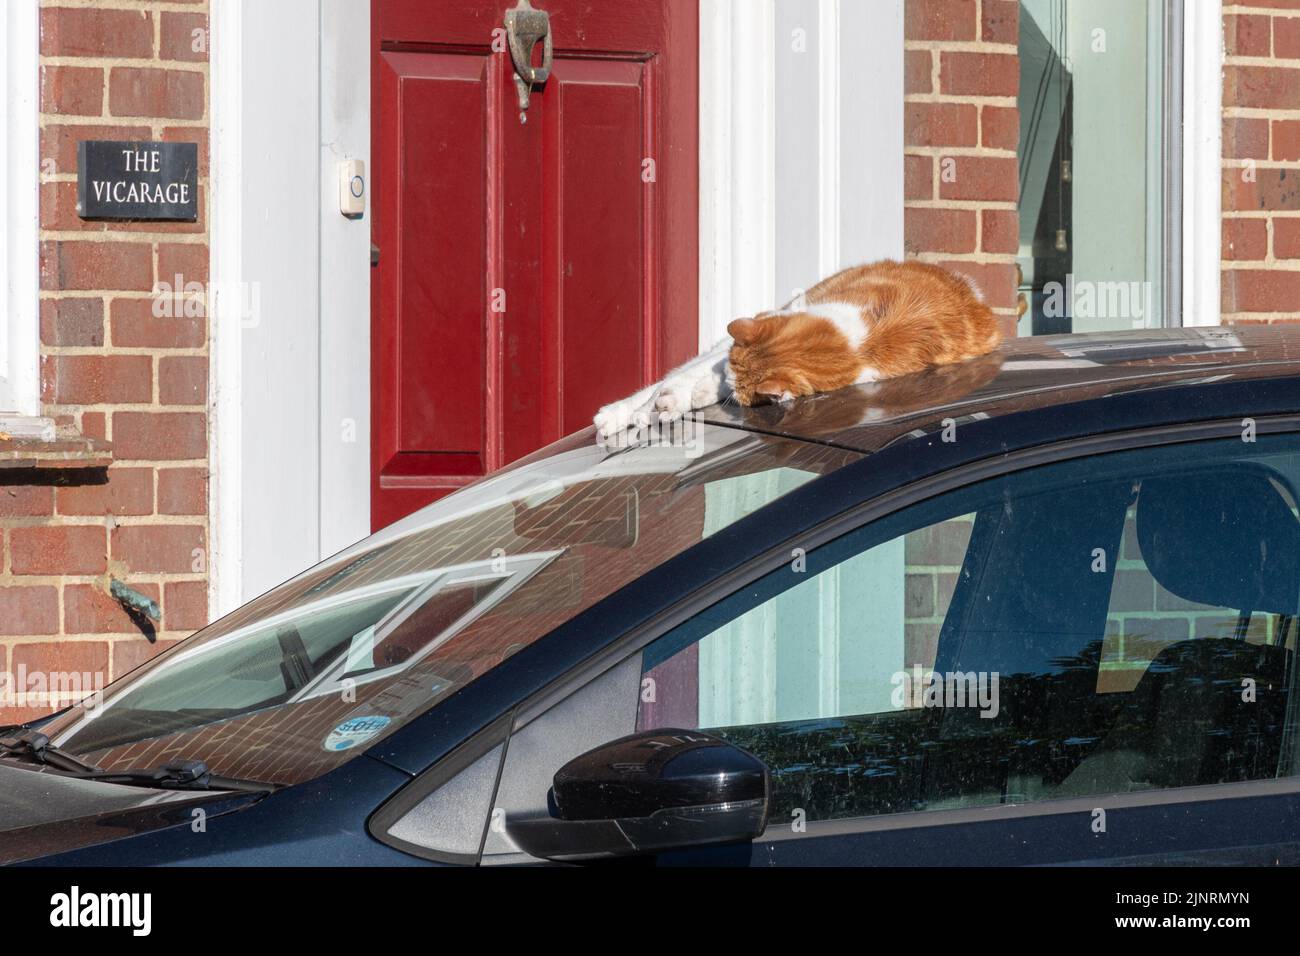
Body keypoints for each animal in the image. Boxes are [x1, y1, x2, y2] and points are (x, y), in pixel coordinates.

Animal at [595, 261, 998, 442]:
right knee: (672, 376)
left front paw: (677, 402)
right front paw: (647, 409)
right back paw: (615, 414)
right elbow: (677, 379)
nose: (724, 377)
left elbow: (699, 384)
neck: (861, 343)